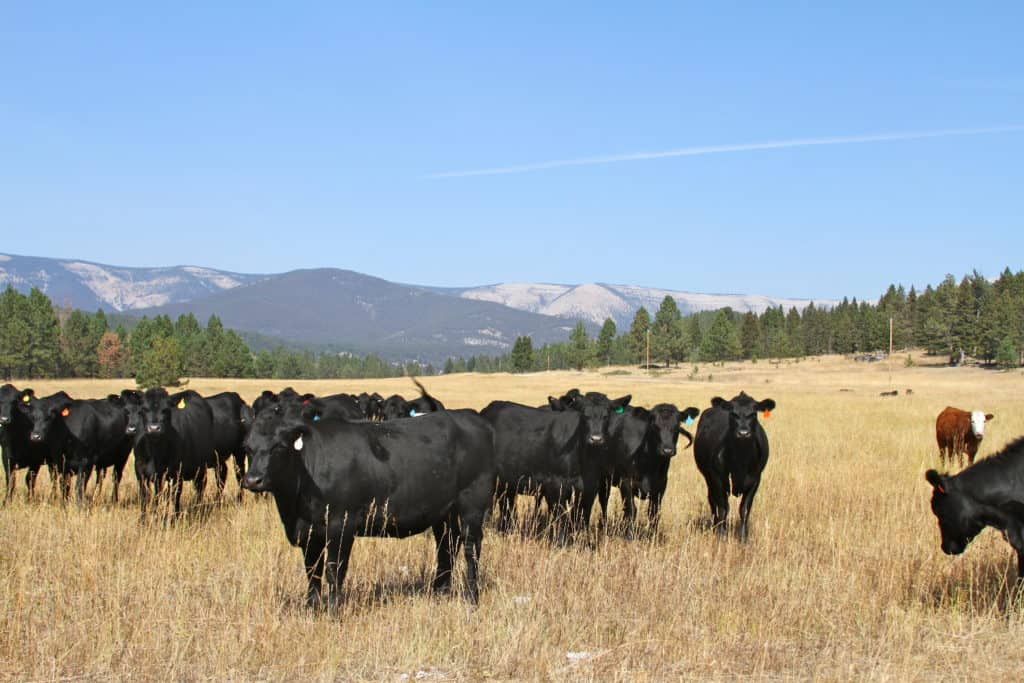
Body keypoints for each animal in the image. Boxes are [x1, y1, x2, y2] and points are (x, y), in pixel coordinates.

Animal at [130, 387, 216, 516]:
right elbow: (146, 496)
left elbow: (175, 496)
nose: (154, 428)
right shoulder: (140, 471)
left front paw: (173, 518)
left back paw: (197, 510)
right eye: (144, 409)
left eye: (166, 410)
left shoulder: (176, 472)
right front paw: (145, 519)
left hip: (201, 469)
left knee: (199, 489)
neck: (155, 453)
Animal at [240, 403, 495, 606]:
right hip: (443, 512)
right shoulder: (309, 533)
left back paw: (472, 597)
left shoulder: (341, 524)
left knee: (471, 548)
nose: (253, 480)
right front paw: (311, 608)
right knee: (447, 546)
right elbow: (313, 572)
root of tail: (472, 417)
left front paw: (333, 610)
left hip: (473, 504)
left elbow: (334, 570)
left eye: (279, 447)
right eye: (247, 447)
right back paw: (439, 593)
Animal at [696, 393, 774, 540]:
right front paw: (721, 535)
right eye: (733, 413)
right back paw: (715, 526)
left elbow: (744, 509)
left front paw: (743, 537)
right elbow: (723, 508)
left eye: (753, 413)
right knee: (712, 501)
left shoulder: (755, 480)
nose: (743, 433)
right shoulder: (717, 478)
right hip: (708, 478)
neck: (740, 458)